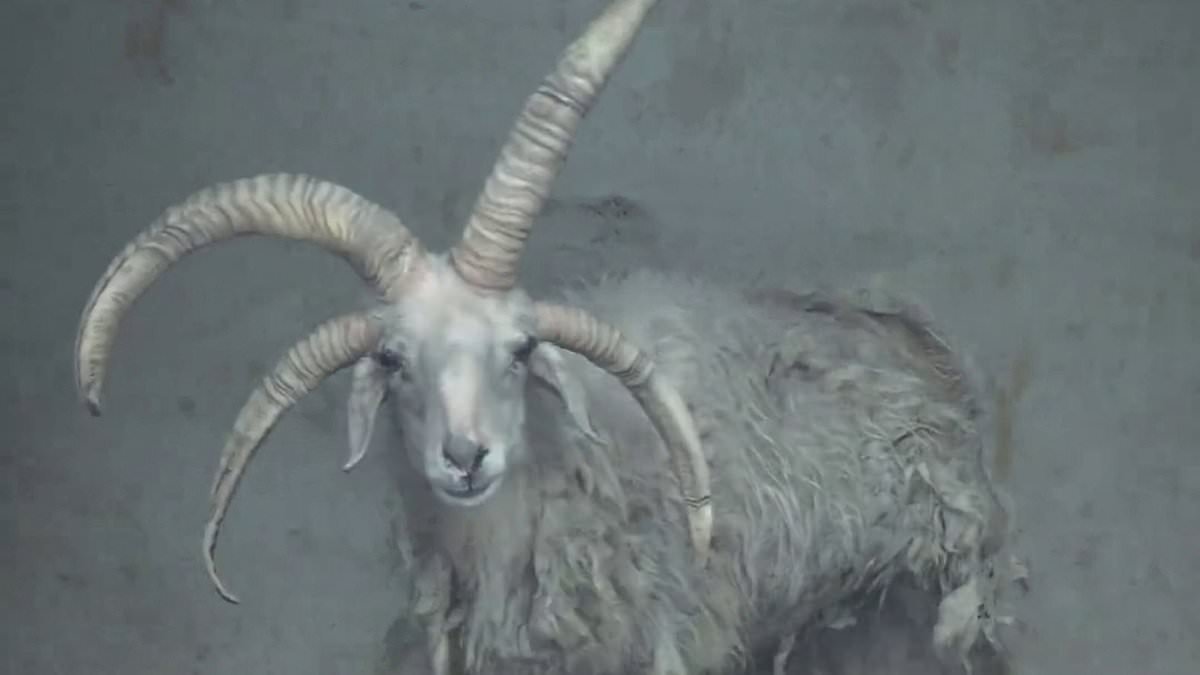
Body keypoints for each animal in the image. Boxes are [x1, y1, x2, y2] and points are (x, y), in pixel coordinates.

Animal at [73, 0, 1027, 673]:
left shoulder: (675, 637)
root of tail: (906, 330)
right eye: (394, 360)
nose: (466, 457)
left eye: (521, 351)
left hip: (951, 561)